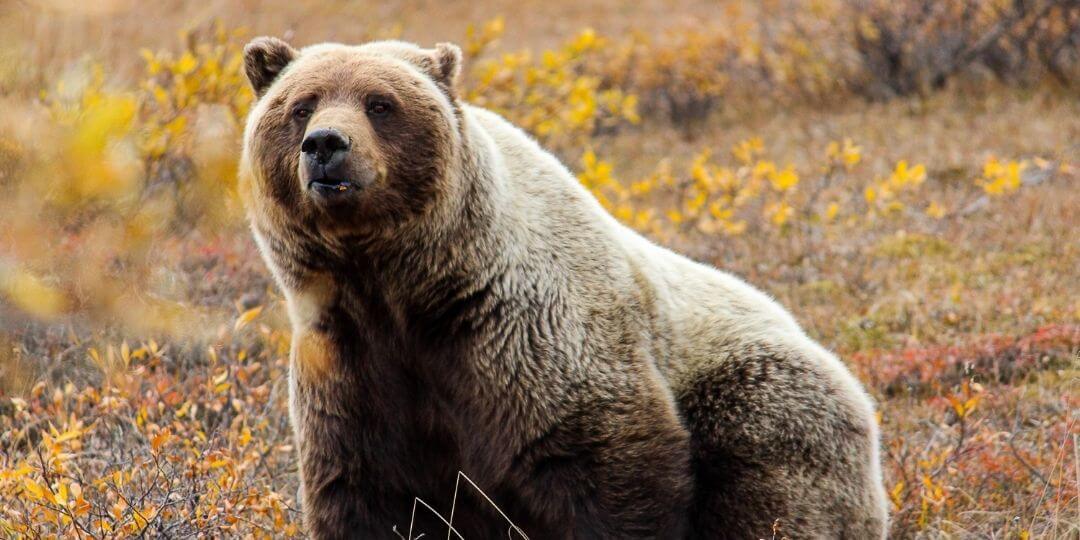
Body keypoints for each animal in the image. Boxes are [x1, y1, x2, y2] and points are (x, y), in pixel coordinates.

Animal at [239, 36, 888, 539]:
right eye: (300, 106)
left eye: (380, 103)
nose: (326, 145)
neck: (403, 289)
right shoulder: (349, 367)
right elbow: (363, 492)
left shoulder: (523, 340)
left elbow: (606, 471)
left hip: (763, 402)